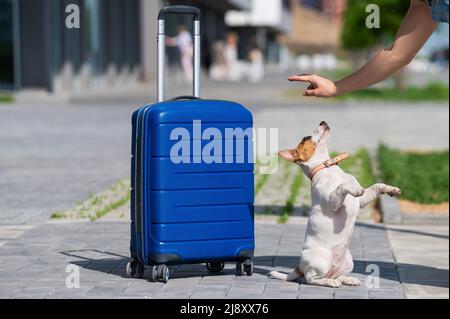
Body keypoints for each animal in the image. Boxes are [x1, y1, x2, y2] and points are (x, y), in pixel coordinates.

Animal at [268, 121, 402, 288]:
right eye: (306, 138)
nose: (322, 121)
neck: (328, 168)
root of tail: (299, 267)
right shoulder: (333, 202)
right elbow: (343, 186)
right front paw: (354, 188)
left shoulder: (362, 201)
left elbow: (377, 185)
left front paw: (391, 189)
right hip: (320, 262)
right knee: (311, 279)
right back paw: (329, 282)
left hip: (348, 261)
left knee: (336, 275)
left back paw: (347, 279)